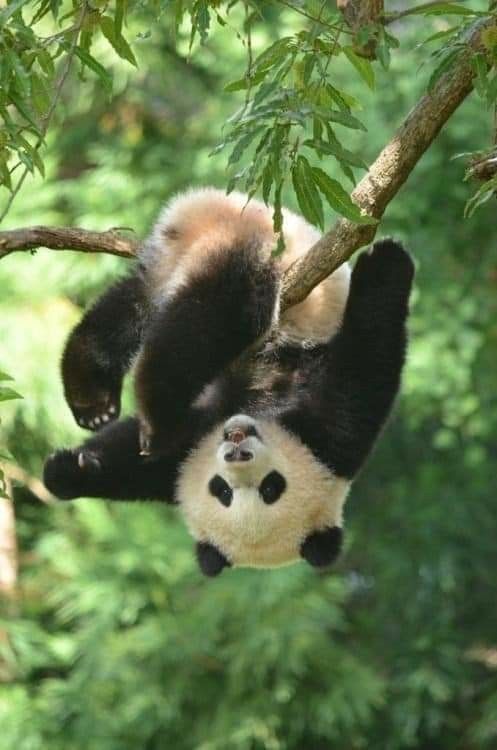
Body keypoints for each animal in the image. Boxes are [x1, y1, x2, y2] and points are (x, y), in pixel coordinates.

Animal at [43, 187, 414, 576]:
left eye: (270, 488)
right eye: (222, 491)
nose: (236, 445)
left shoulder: (194, 447)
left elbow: (135, 464)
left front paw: (71, 470)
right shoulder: (331, 437)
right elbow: (362, 375)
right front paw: (386, 266)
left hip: (175, 262)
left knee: (132, 304)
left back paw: (92, 394)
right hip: (262, 251)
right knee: (213, 318)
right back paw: (154, 416)